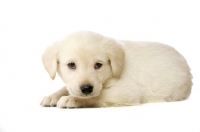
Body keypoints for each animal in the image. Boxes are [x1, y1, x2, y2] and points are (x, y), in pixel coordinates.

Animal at [40, 31, 192, 108]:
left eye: (98, 65)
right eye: (71, 65)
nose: (86, 89)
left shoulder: (127, 91)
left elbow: (98, 96)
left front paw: (73, 99)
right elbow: (65, 88)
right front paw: (52, 96)